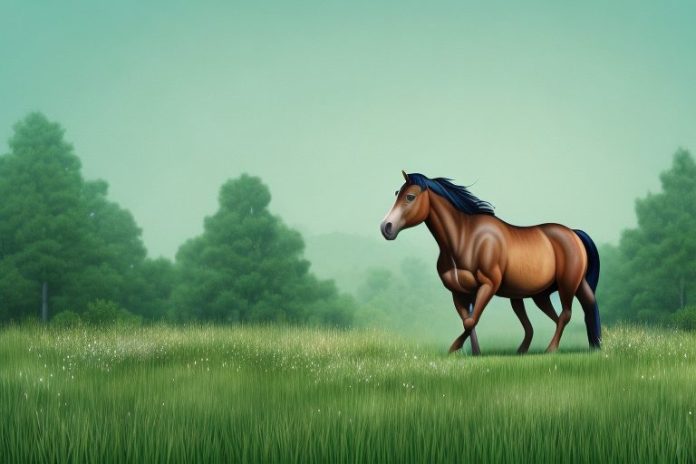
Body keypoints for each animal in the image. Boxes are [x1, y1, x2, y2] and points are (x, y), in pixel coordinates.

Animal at [380, 171, 601, 354]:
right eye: (397, 193)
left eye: (410, 196)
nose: (386, 227)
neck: (464, 239)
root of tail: (573, 233)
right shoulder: (458, 292)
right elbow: (469, 322)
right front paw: (473, 353)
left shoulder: (488, 285)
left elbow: (470, 322)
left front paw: (454, 349)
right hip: (542, 293)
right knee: (569, 312)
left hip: (567, 284)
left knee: (565, 314)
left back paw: (551, 349)